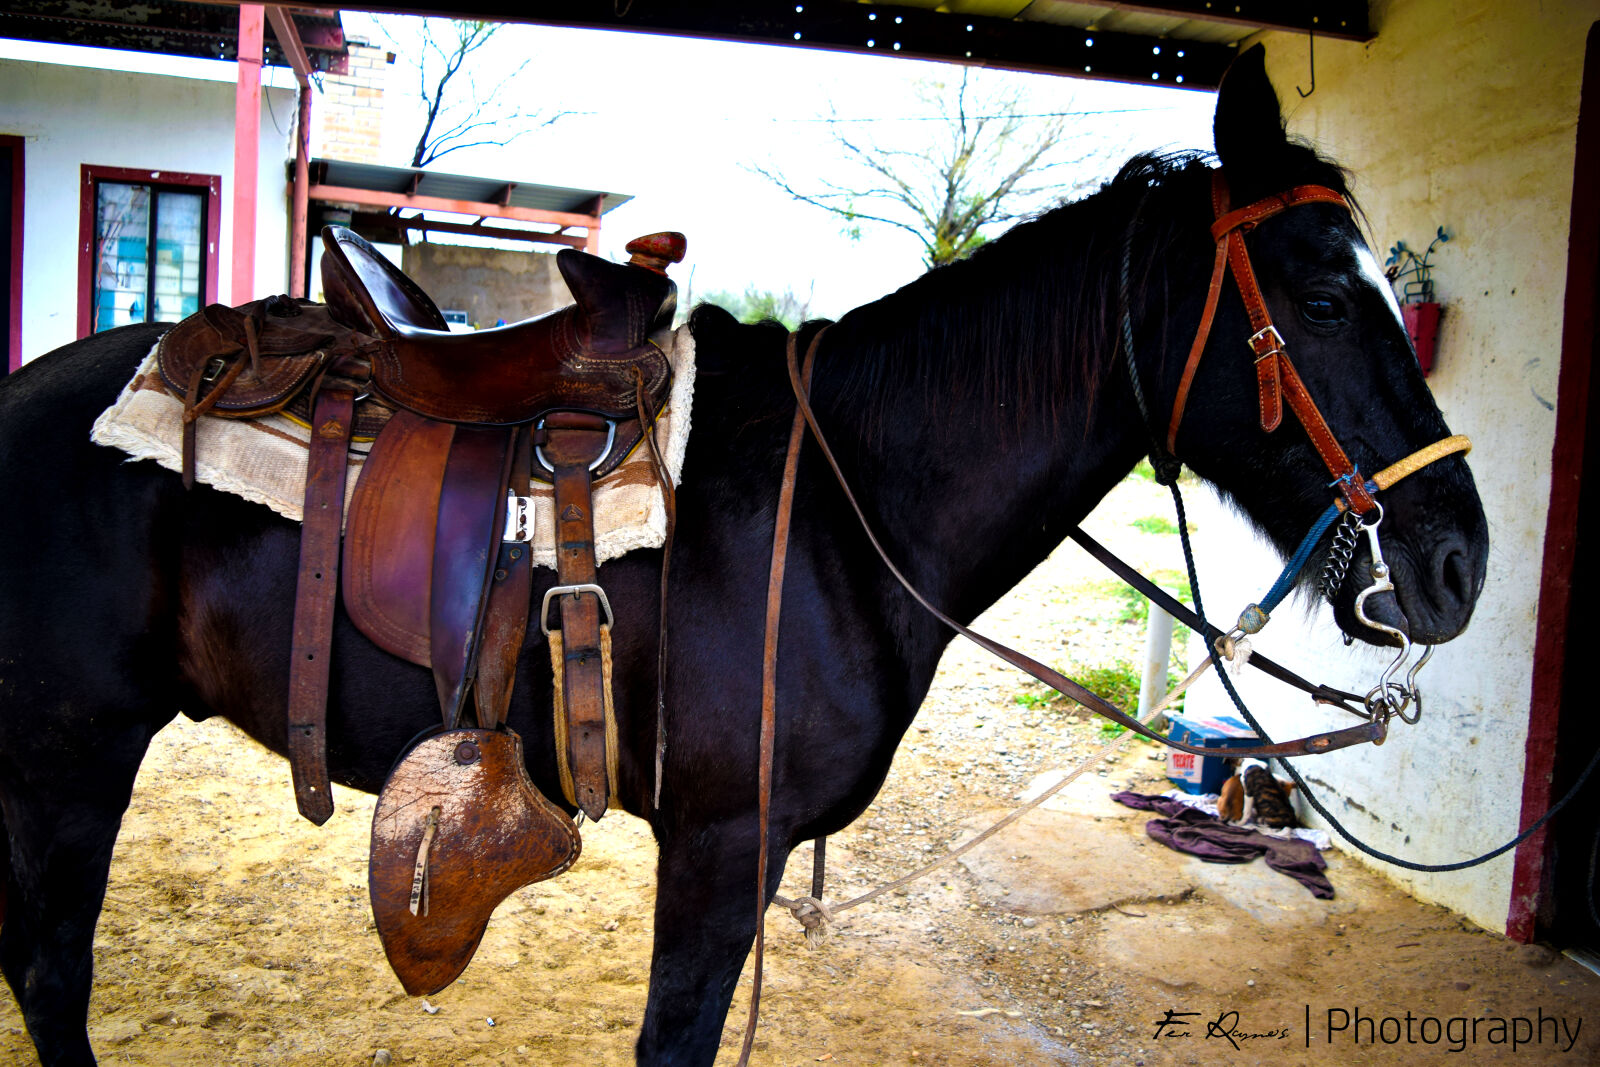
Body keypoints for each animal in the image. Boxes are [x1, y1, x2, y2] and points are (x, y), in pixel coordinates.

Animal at [0, 47, 1486, 1067]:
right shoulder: (722, 845)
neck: (839, 504)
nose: (1458, 559)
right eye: (1321, 296)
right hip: (69, 754)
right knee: (50, 967)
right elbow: (676, 1035)